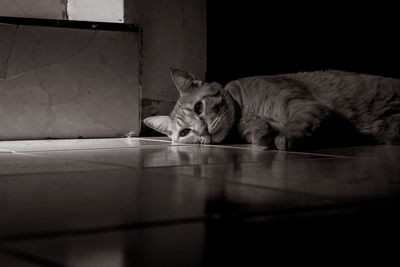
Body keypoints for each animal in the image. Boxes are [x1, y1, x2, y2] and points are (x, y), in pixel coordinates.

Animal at [144, 68, 400, 151]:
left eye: (199, 107)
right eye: (185, 133)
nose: (203, 131)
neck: (245, 112)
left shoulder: (306, 106)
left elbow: (298, 124)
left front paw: (286, 138)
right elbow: (259, 131)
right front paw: (262, 133)